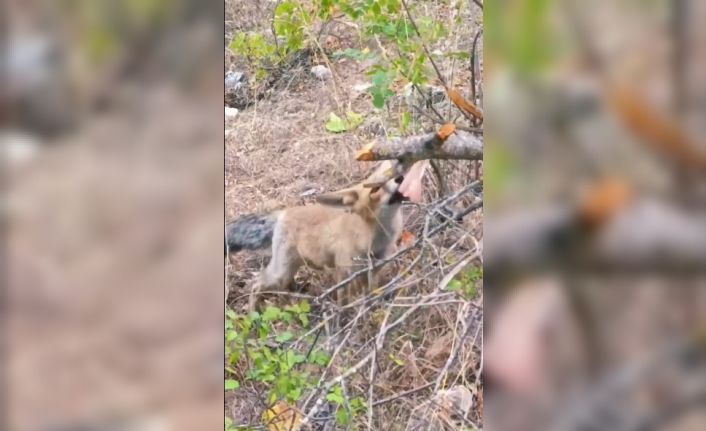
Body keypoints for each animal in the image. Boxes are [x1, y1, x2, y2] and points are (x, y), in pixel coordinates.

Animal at [226, 162, 424, 308]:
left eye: (389, 178)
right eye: (374, 190)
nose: (400, 178)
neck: (374, 239)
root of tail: (282, 213)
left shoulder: (373, 270)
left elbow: (370, 293)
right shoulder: (345, 272)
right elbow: (345, 302)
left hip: (288, 271)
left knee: (281, 287)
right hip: (280, 272)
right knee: (255, 284)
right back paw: (253, 314)